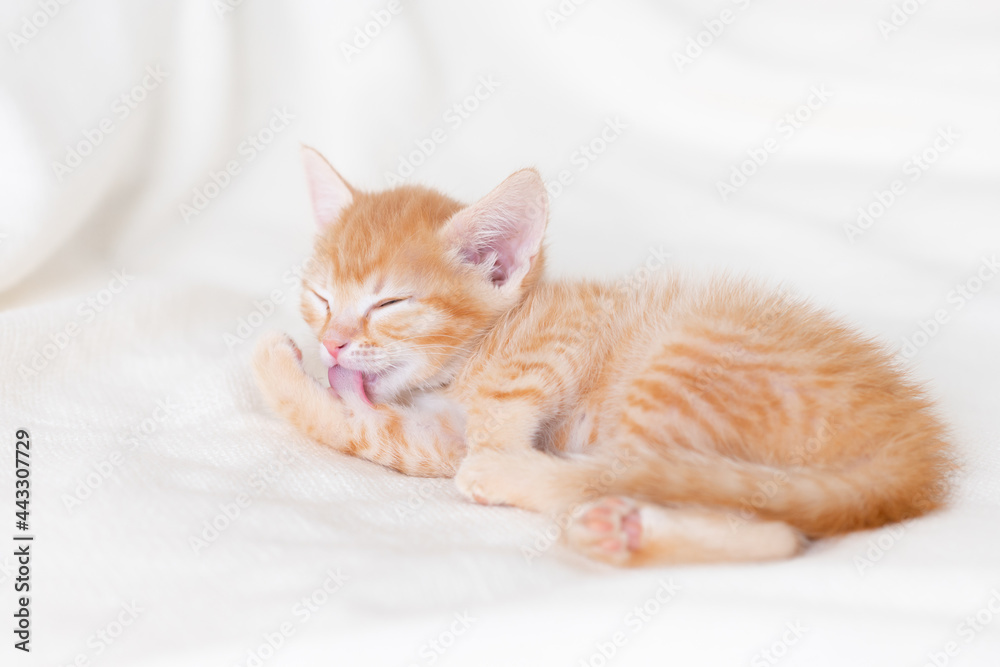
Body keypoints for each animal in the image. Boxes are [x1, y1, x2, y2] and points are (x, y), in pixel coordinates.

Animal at [252, 147, 952, 568]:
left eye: (390, 302)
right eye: (320, 296)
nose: (332, 342)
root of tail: (914, 450)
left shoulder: (568, 332)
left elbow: (496, 413)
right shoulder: (433, 436)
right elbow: (366, 433)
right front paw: (299, 377)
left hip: (679, 365)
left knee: (641, 479)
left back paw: (521, 482)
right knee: (774, 530)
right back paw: (623, 533)